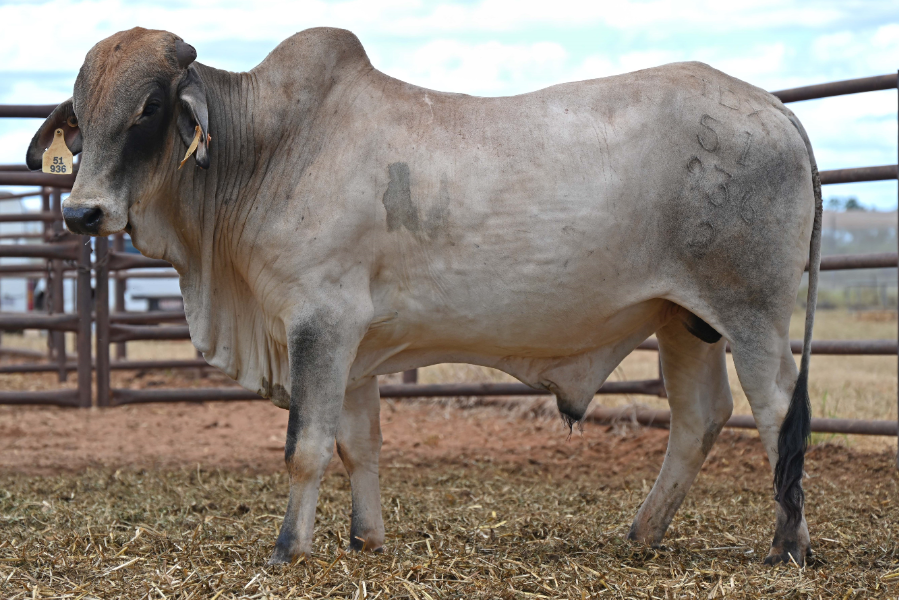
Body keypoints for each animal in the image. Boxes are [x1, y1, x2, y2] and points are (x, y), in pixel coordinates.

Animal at [27, 27, 822, 566]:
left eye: (149, 106)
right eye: (80, 111)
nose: (83, 212)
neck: (268, 149)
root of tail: (775, 109)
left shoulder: (320, 322)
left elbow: (305, 445)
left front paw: (289, 548)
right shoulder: (352, 346)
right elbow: (358, 446)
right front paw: (366, 539)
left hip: (750, 312)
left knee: (779, 410)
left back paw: (786, 545)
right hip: (684, 319)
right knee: (701, 416)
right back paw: (642, 532)